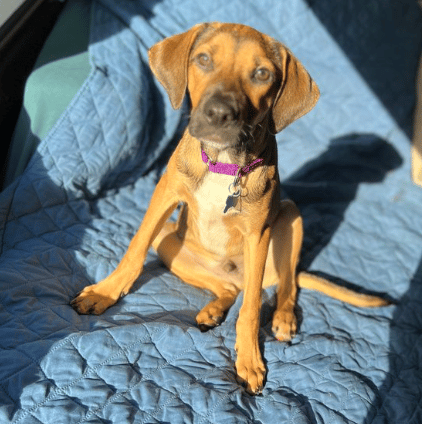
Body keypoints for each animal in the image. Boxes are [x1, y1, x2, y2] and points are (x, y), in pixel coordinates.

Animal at [70, 22, 390, 394]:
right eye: (204, 60)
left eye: (262, 73)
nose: (219, 114)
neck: (223, 162)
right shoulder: (165, 195)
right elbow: (134, 250)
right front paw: (104, 293)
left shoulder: (257, 234)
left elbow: (250, 308)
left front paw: (249, 359)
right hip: (169, 241)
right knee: (229, 289)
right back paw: (213, 310)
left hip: (290, 217)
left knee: (284, 283)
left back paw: (283, 317)